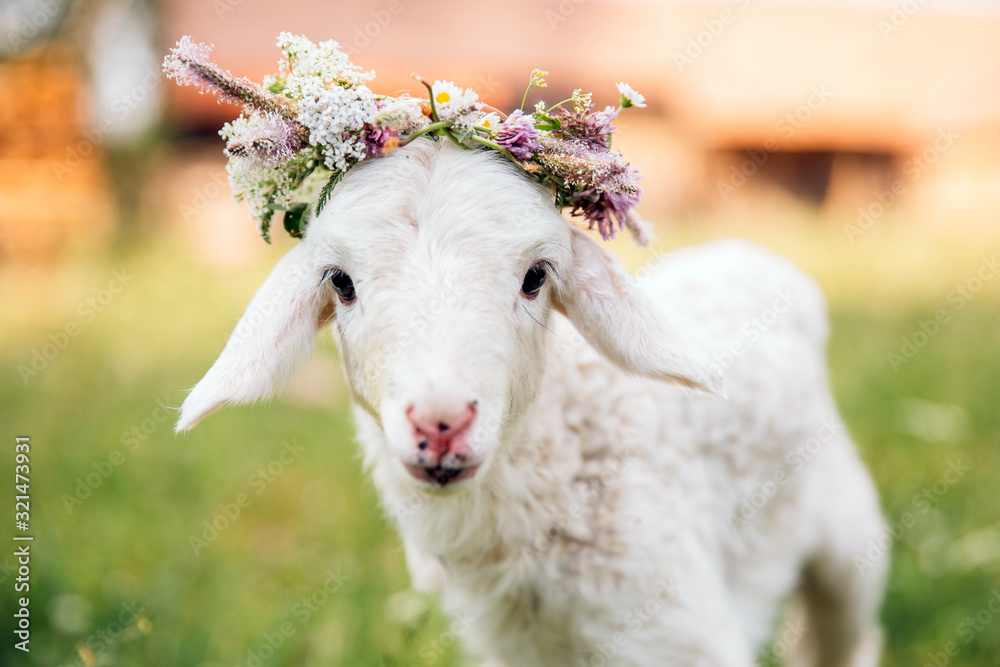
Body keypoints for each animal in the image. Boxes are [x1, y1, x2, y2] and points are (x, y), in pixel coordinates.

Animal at [176, 138, 888, 664]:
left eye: (536, 276)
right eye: (341, 282)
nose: (441, 423)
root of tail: (757, 259)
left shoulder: (678, 632)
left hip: (847, 533)